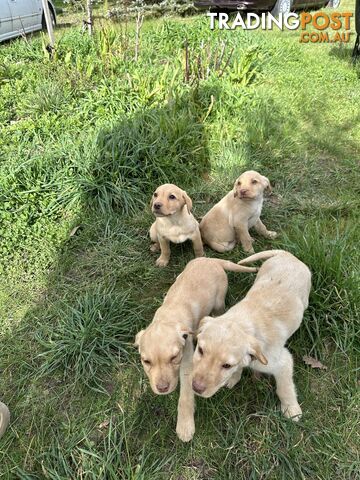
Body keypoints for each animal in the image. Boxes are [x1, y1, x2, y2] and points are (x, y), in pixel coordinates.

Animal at [134, 256, 256, 440]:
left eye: (174, 357)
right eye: (146, 361)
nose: (162, 389)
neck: (168, 317)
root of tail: (210, 259)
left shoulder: (187, 360)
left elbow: (185, 395)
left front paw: (185, 426)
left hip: (219, 299)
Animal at [193, 249, 310, 422]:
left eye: (226, 365)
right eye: (200, 350)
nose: (196, 388)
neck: (242, 323)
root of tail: (288, 255)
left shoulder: (283, 362)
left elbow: (285, 388)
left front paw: (291, 410)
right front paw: (234, 378)